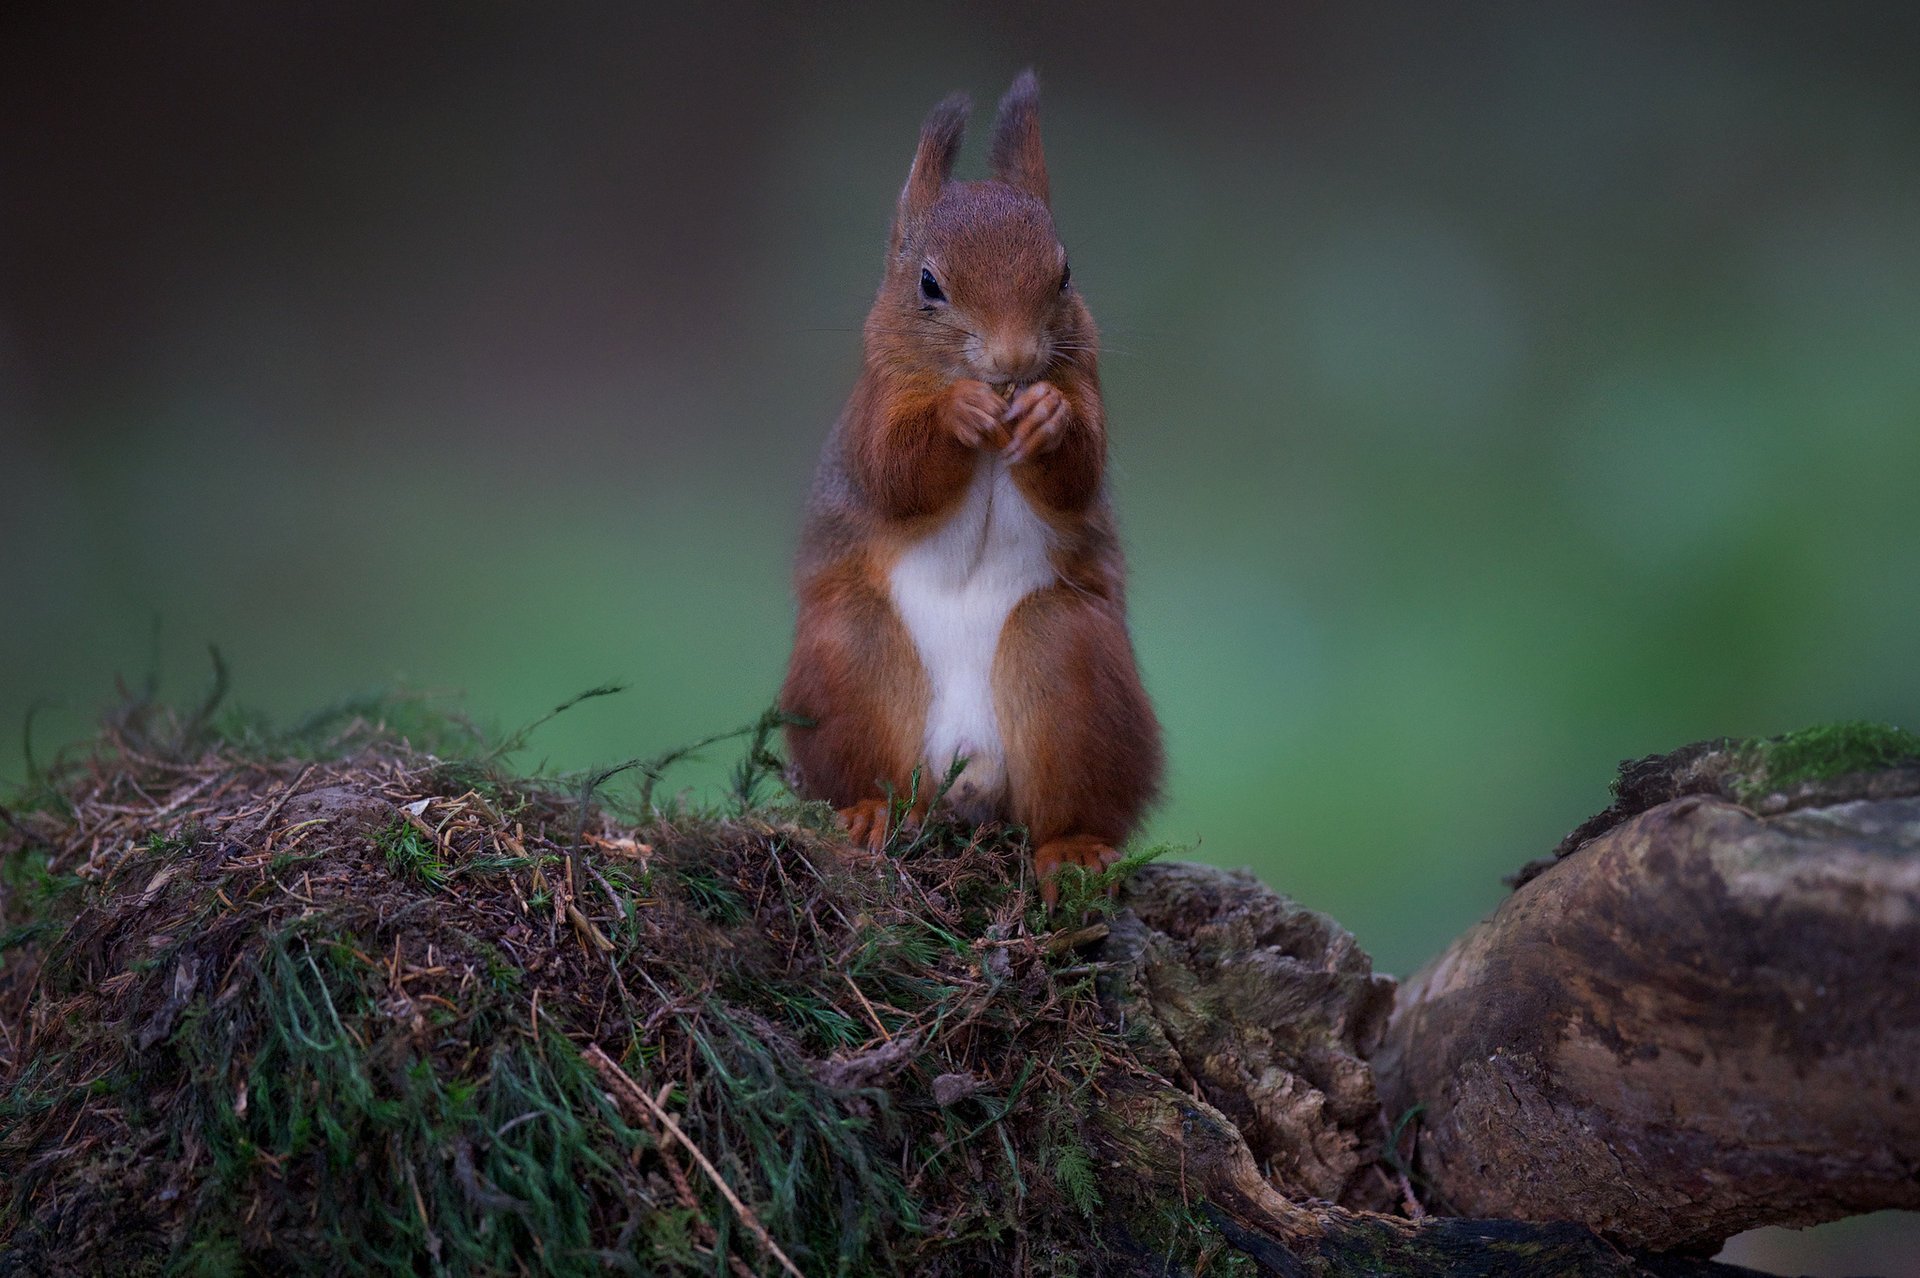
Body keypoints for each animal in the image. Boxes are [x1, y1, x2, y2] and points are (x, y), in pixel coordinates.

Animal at [779, 71, 1163, 905]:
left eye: (1065, 272)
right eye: (928, 283)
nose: (1014, 361)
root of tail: (968, 773)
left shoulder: (1089, 389)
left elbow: (1078, 474)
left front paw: (1046, 417)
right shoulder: (875, 408)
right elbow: (894, 475)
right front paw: (958, 413)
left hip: (1069, 667)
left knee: (1068, 800)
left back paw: (1072, 848)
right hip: (851, 658)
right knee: (869, 769)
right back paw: (867, 814)